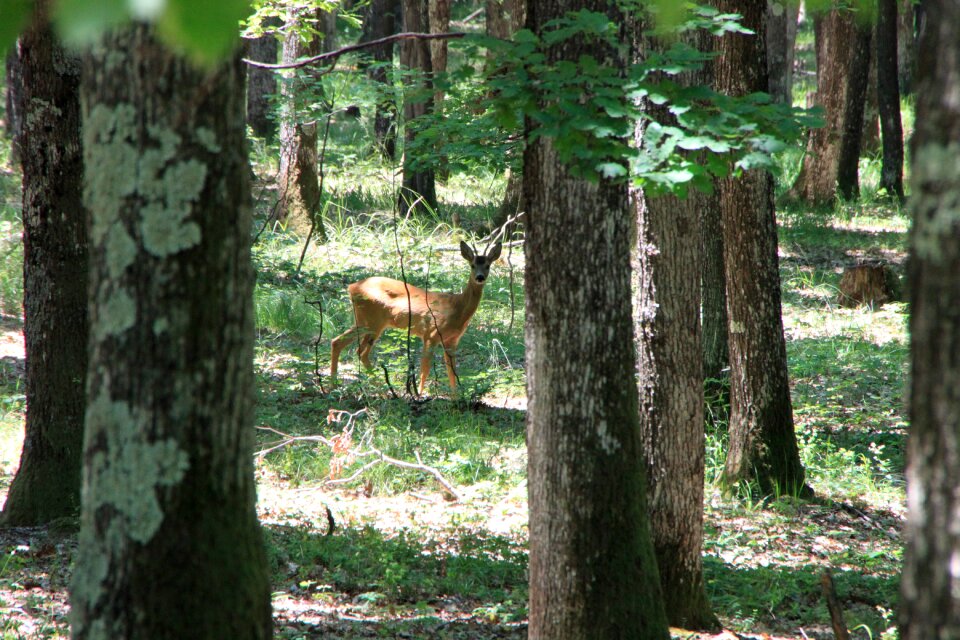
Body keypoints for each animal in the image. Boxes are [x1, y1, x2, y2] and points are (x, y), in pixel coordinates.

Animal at [330, 241, 502, 396]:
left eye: (488, 265)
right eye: (472, 265)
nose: (480, 277)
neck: (457, 308)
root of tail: (352, 287)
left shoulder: (452, 341)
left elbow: (452, 371)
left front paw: (456, 399)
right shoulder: (431, 334)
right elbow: (425, 369)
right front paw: (419, 395)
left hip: (363, 320)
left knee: (338, 342)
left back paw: (334, 385)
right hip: (373, 322)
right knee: (361, 352)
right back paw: (382, 390)